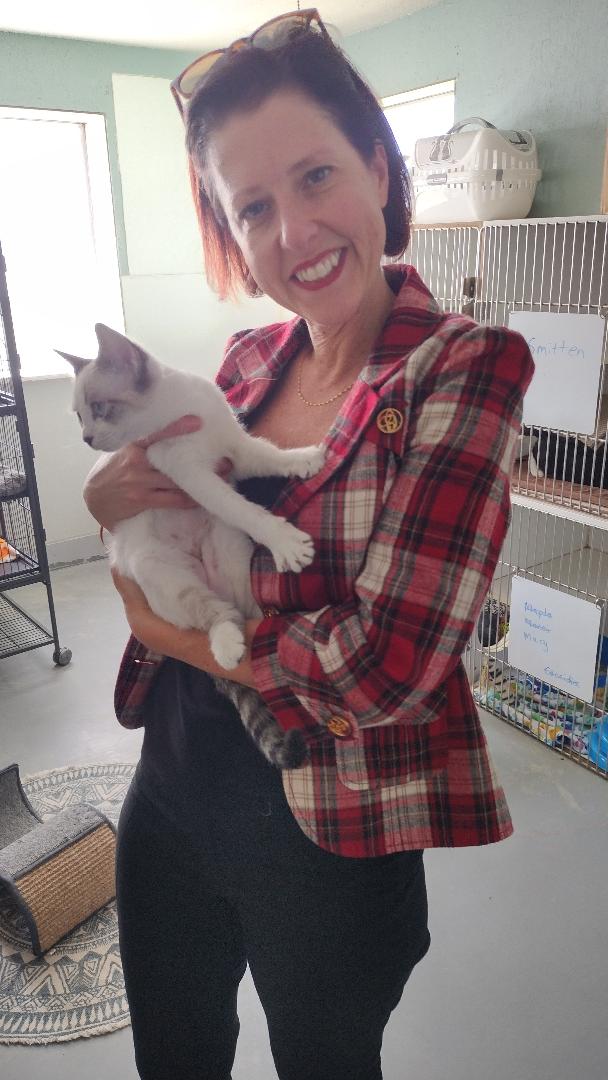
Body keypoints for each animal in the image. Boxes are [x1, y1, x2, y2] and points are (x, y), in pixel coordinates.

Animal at [62, 321, 326, 768]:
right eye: (80, 415)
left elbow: (271, 456)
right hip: (163, 572)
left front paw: (303, 459)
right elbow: (244, 509)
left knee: (242, 610)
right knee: (214, 614)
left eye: (99, 408)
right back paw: (227, 645)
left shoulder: (235, 450)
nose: (85, 438)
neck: (177, 409)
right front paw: (283, 540)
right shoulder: (193, 477)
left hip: (230, 553)